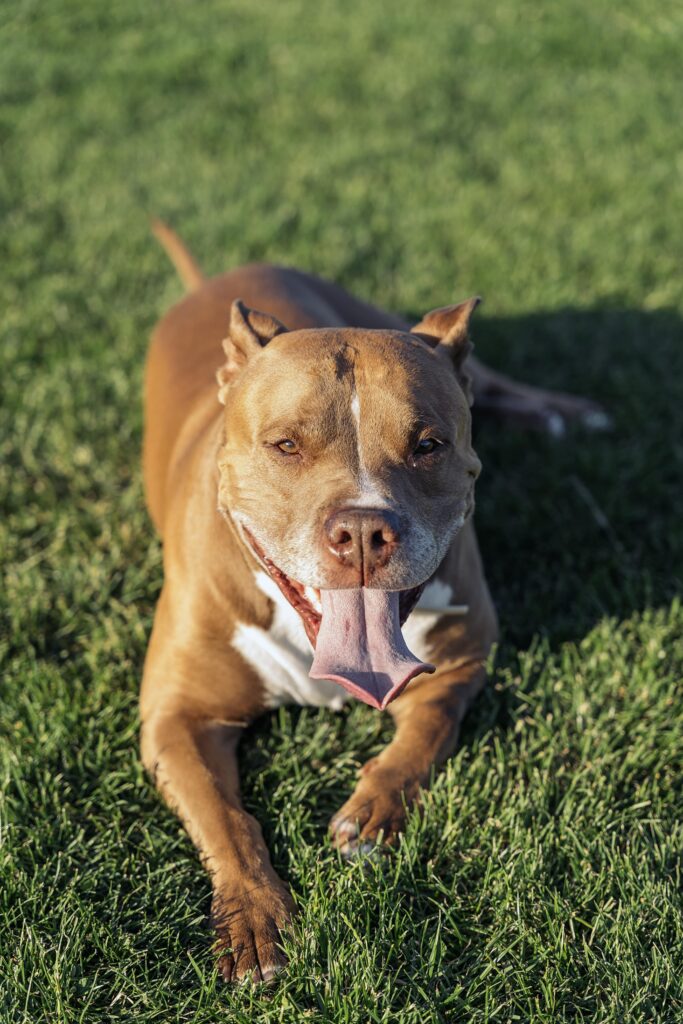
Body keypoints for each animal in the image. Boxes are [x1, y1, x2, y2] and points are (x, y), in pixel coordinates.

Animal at [140, 224, 610, 983]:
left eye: (428, 445)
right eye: (285, 445)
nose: (362, 529)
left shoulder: (462, 663)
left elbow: (422, 737)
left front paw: (371, 811)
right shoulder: (177, 717)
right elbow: (226, 818)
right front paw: (253, 919)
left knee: (494, 380)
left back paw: (567, 411)